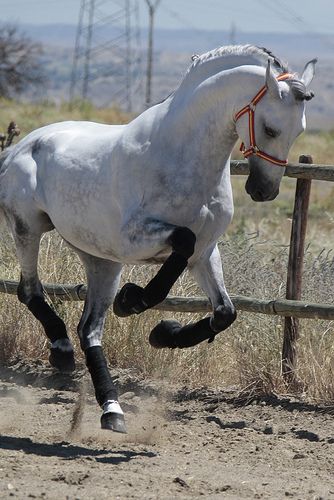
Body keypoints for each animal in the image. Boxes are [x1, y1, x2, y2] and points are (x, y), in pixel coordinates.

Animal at [0, 45, 316, 432]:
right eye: (271, 128)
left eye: (299, 130)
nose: (263, 190)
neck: (182, 156)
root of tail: (19, 147)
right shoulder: (135, 237)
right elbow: (180, 244)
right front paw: (132, 301)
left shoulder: (205, 254)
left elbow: (225, 312)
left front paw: (163, 333)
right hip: (28, 228)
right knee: (30, 291)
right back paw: (62, 351)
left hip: (101, 259)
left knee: (89, 330)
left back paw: (112, 410)